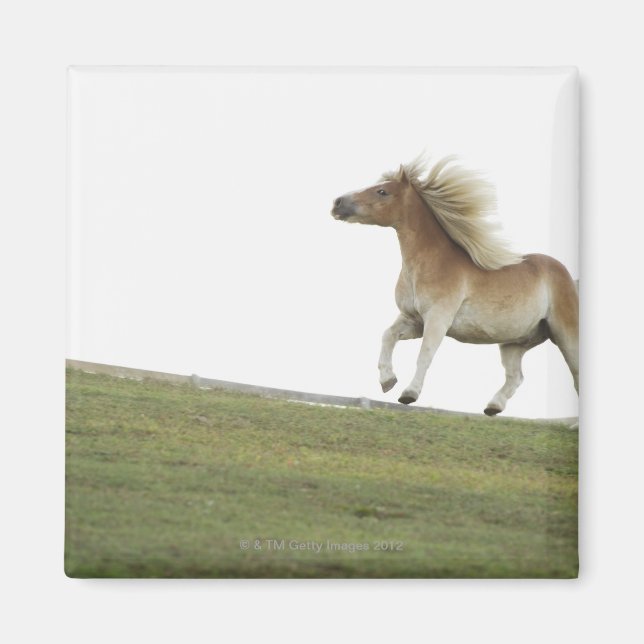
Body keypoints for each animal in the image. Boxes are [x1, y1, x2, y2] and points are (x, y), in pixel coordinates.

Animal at [331, 156, 578, 416]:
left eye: (382, 191)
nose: (337, 203)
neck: (428, 264)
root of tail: (567, 277)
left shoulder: (438, 318)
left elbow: (425, 355)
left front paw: (409, 394)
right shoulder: (414, 319)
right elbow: (388, 335)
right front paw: (388, 380)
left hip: (565, 334)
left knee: (576, 375)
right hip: (514, 342)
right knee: (515, 377)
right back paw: (493, 407)